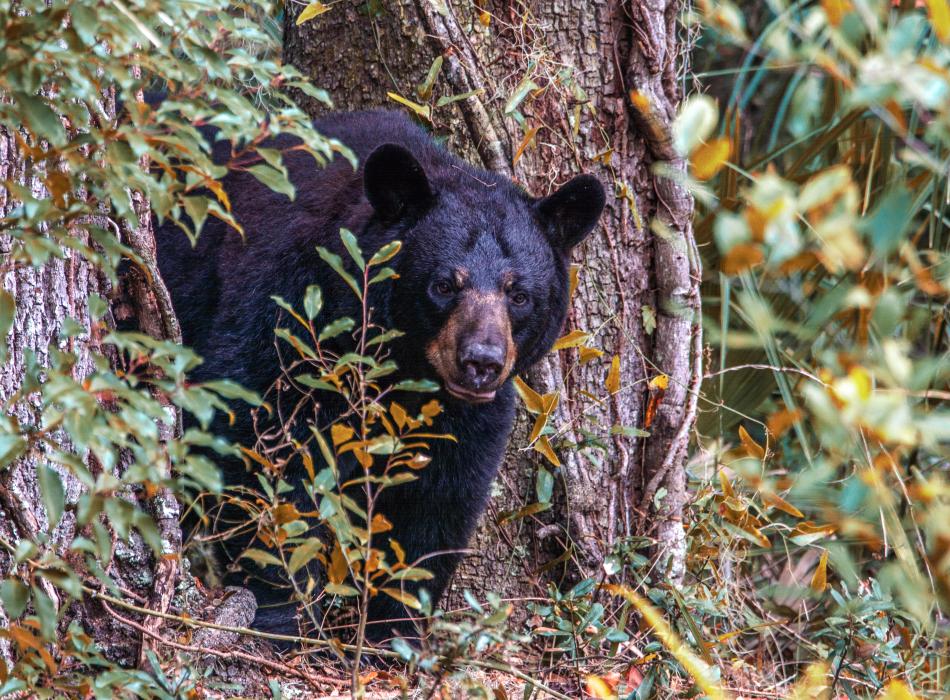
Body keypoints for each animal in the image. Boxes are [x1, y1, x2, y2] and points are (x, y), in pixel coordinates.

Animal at [155, 108, 604, 640]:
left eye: (519, 295)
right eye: (443, 284)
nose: (481, 362)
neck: (400, 368)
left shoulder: (464, 418)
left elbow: (435, 501)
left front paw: (394, 630)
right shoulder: (285, 323)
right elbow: (256, 446)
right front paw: (279, 610)